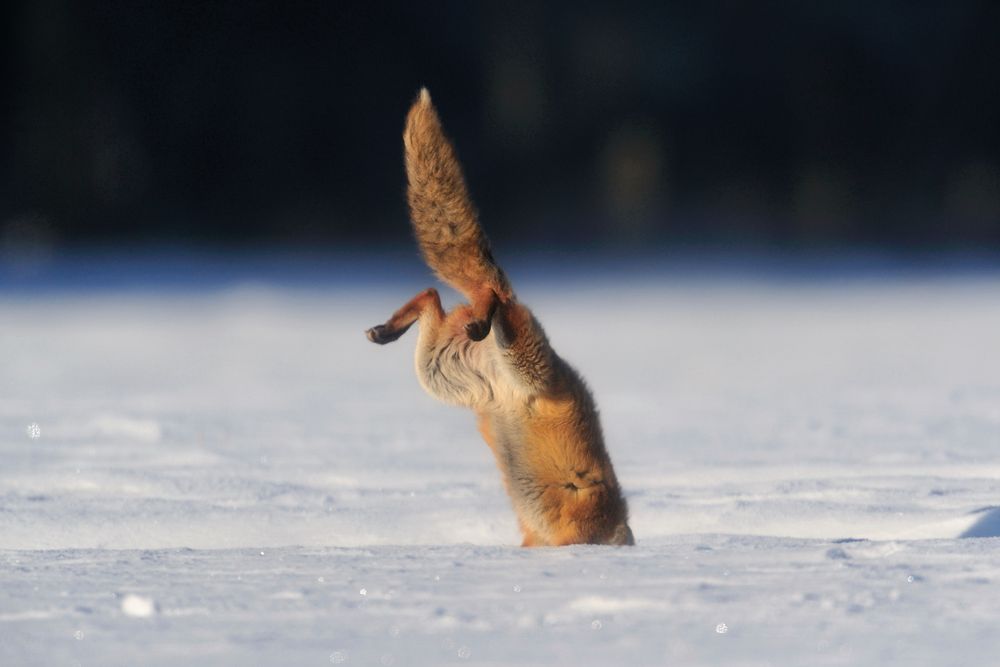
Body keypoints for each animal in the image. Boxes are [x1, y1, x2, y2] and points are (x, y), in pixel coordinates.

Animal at [368, 90, 632, 548]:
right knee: (491, 296)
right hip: (525, 363)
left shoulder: (537, 539)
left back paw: (390, 329)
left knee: (434, 296)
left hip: (436, 371)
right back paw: (481, 315)